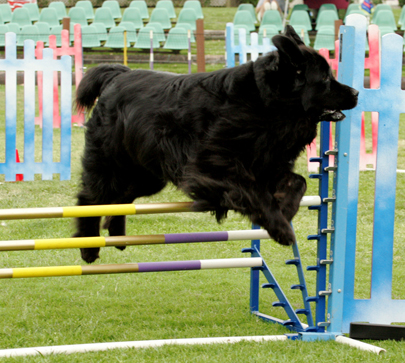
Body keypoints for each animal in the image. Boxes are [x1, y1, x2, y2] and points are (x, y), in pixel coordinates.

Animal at [73, 26, 356, 264]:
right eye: (325, 79)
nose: (356, 93)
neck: (266, 105)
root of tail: (118, 75)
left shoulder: (267, 162)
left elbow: (298, 181)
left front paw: (284, 209)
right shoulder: (214, 166)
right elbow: (255, 194)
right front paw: (280, 228)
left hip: (145, 173)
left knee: (119, 199)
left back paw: (116, 234)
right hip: (110, 163)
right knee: (90, 199)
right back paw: (88, 248)